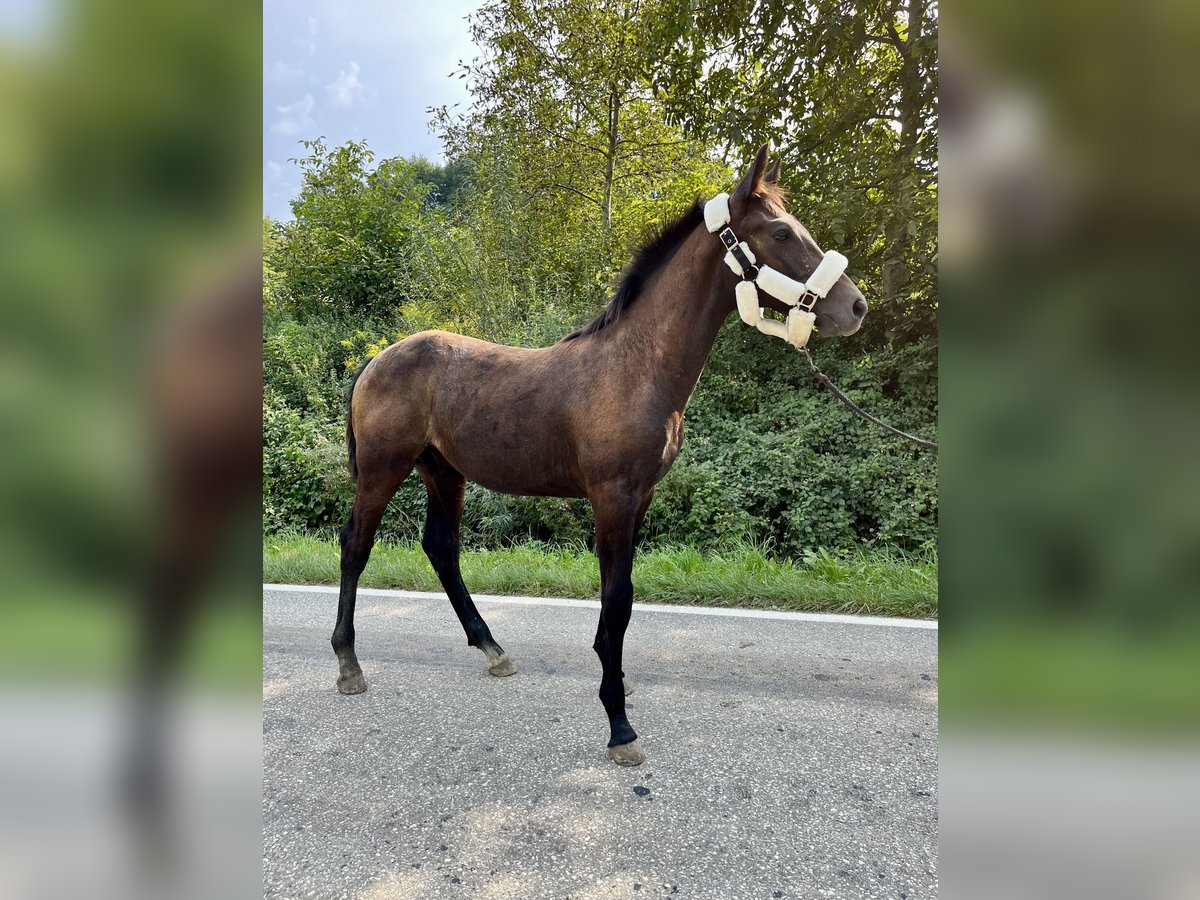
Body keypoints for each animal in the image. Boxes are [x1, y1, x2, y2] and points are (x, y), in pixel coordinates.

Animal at [333, 146, 868, 768]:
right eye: (781, 231)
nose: (855, 307)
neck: (637, 367)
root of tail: (376, 360)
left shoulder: (640, 497)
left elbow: (623, 595)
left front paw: (616, 677)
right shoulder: (612, 497)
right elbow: (616, 599)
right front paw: (619, 724)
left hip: (444, 473)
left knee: (441, 549)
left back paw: (492, 649)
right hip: (382, 470)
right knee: (355, 545)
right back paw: (348, 664)